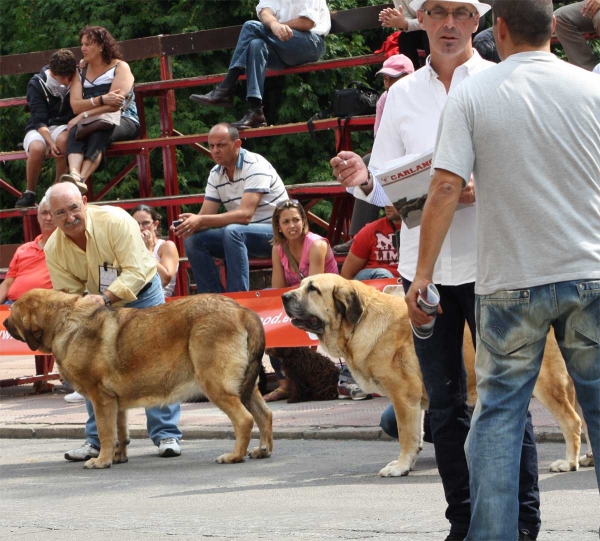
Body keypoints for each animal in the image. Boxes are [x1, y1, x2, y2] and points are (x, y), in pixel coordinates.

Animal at [5, 286, 274, 468]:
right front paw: (117, 457)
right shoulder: (115, 403)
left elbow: (105, 432)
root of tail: (241, 310)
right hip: (245, 386)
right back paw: (262, 450)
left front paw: (101, 461)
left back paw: (234, 456)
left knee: (244, 419)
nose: (5, 321)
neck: (63, 321)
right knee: (264, 414)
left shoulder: (101, 399)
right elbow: (120, 433)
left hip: (215, 384)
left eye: (13, 312)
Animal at [284, 274, 592, 476]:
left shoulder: (402, 397)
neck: (358, 323)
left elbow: (406, 435)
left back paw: (569, 462)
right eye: (299, 285)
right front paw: (408, 462)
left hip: (547, 384)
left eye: (313, 289)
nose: (284, 296)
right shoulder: (417, 402)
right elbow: (416, 434)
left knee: (572, 422)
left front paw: (400, 467)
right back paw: (589, 459)